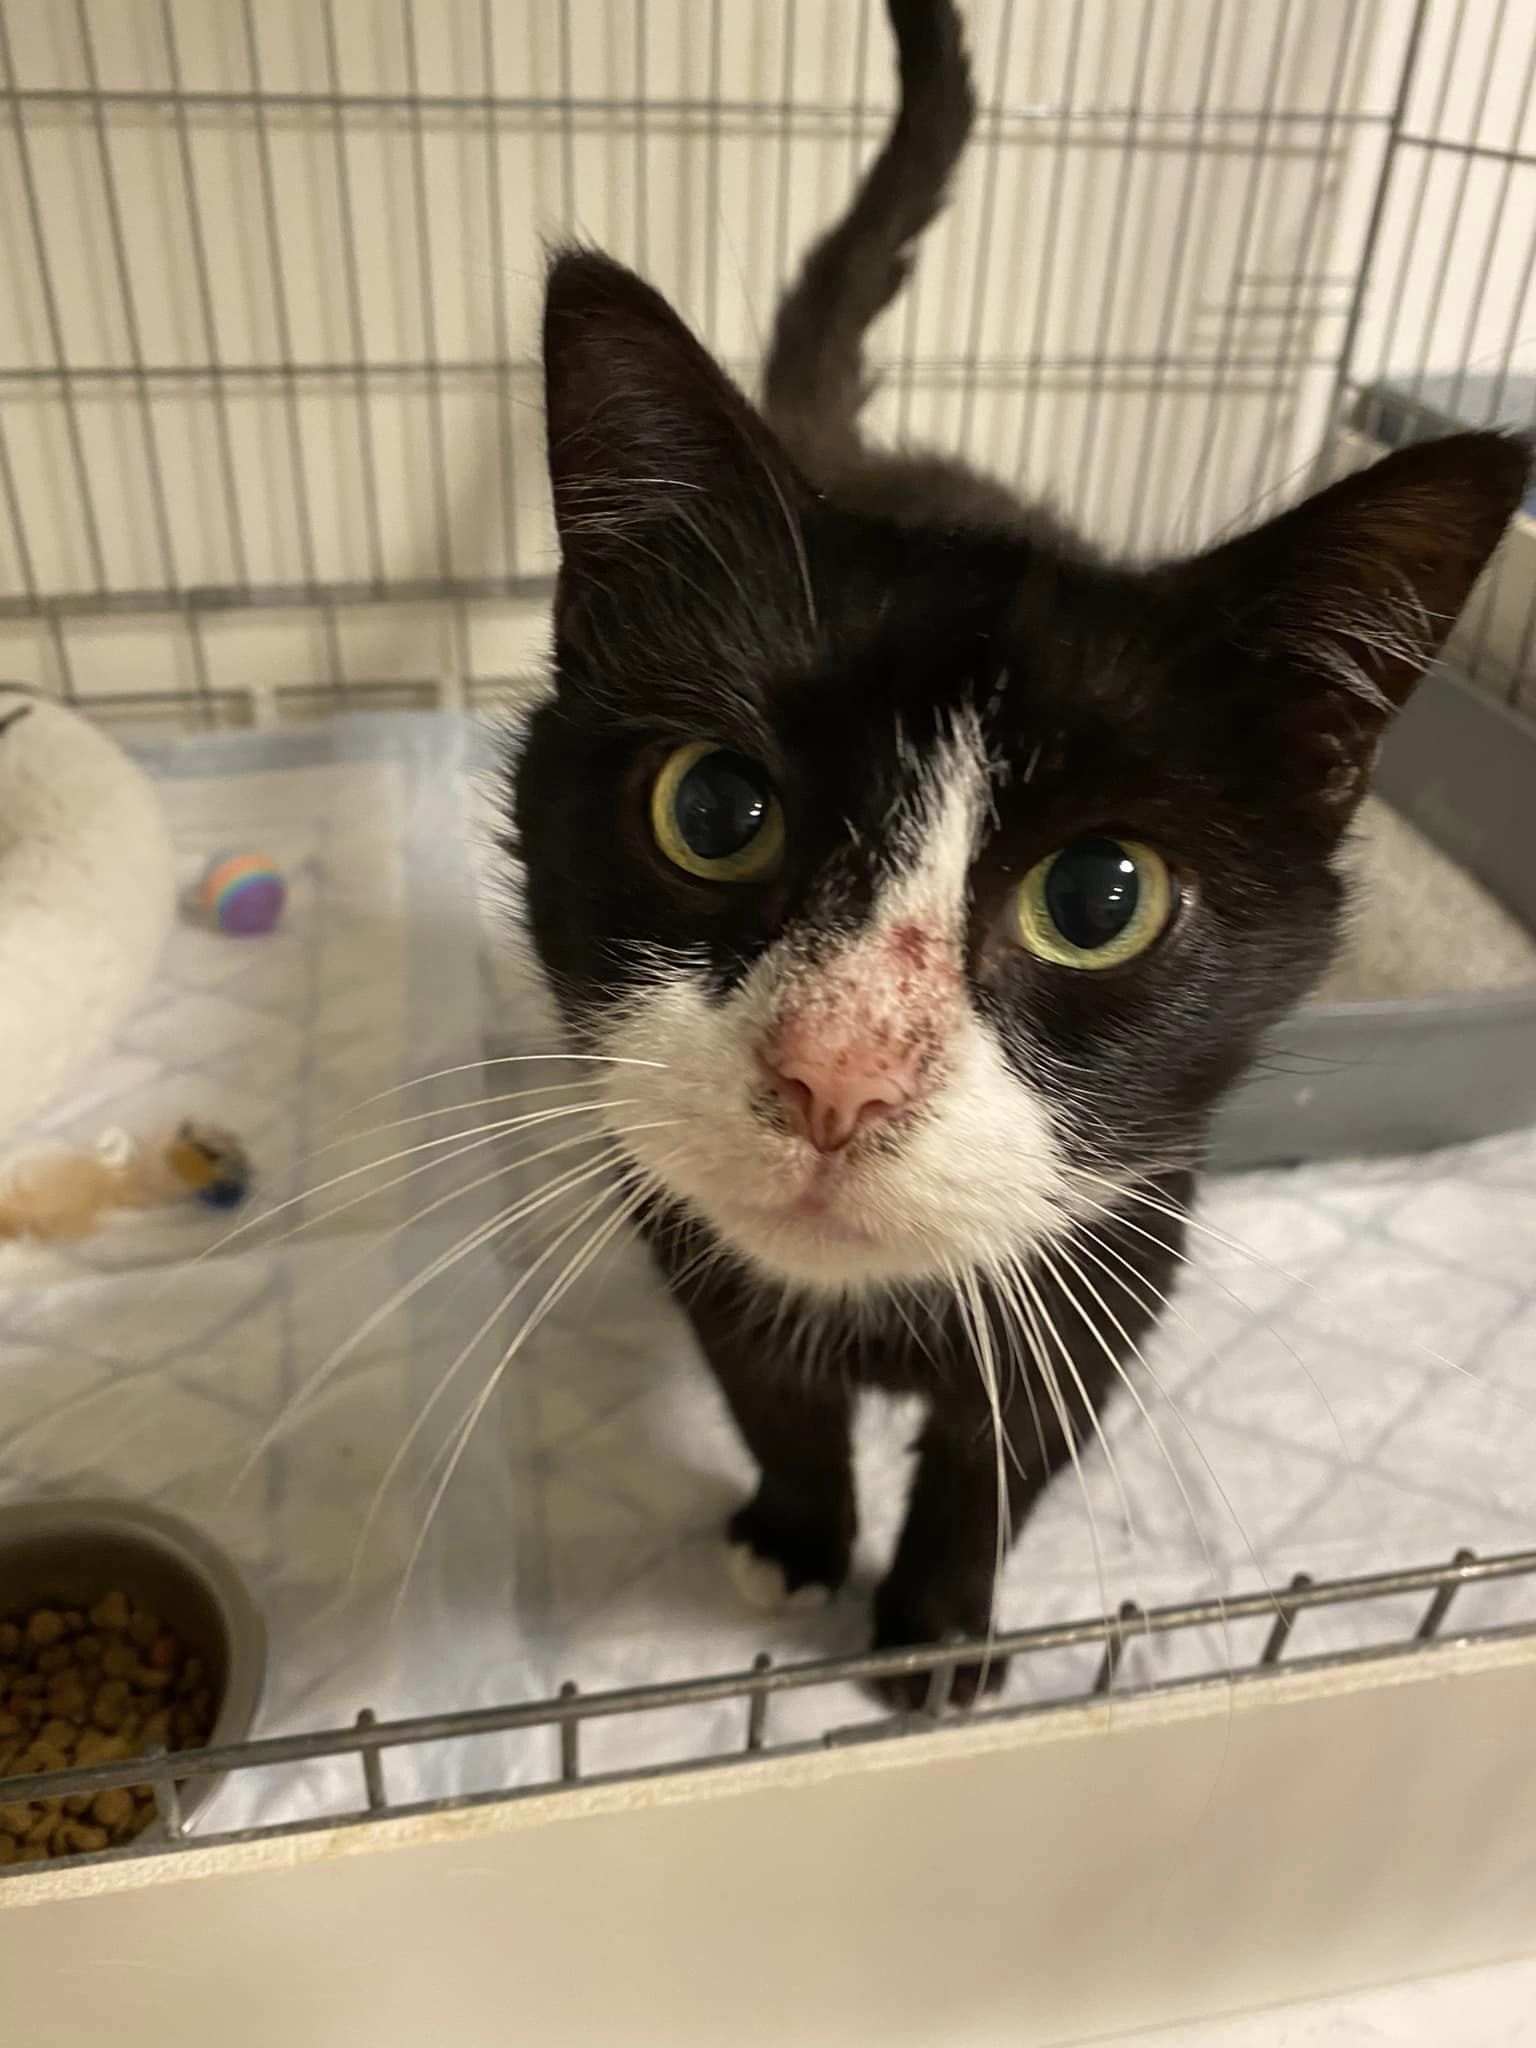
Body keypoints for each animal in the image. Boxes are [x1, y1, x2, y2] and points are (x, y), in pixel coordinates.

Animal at [513, 0, 1527, 1704]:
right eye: (714, 812)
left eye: (1102, 897)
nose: (835, 1075)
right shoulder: (680, 1207)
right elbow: (767, 1393)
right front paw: (796, 1537)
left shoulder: (1113, 1251)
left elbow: (1006, 1460)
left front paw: (933, 1636)